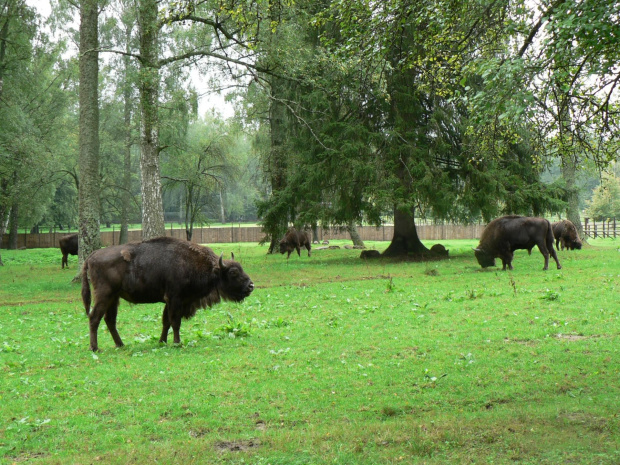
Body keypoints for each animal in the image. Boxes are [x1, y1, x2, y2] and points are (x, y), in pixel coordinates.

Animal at [81, 237, 254, 350]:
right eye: (233, 272)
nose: (251, 286)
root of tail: (92, 256)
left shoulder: (170, 302)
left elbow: (166, 322)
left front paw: (162, 341)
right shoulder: (175, 299)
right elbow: (175, 322)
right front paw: (177, 342)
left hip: (114, 298)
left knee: (110, 320)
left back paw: (120, 344)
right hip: (104, 295)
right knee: (94, 318)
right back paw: (95, 348)